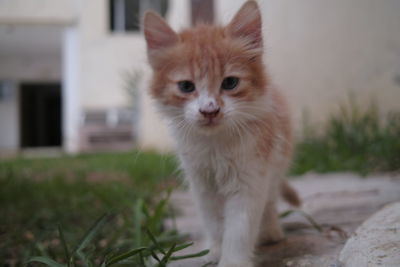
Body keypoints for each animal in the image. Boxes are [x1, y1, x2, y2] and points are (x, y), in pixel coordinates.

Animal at [144, 1, 300, 266]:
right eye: (186, 86)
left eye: (230, 83)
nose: (210, 110)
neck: (214, 146)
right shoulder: (202, 184)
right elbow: (215, 223)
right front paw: (214, 252)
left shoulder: (250, 179)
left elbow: (238, 230)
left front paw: (232, 260)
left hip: (276, 165)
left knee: (269, 202)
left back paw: (270, 232)